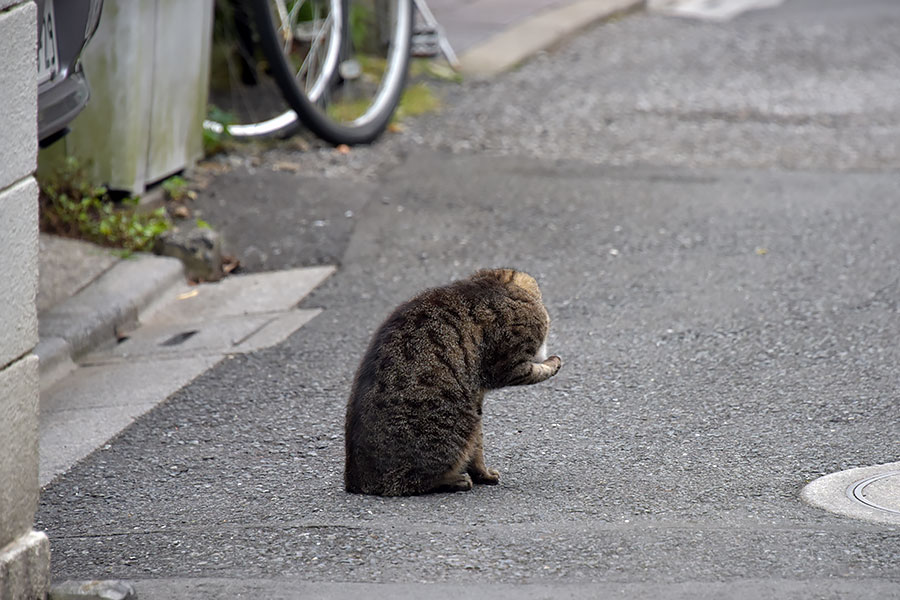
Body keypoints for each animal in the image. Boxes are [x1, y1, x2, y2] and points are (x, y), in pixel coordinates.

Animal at [342, 270, 560, 494]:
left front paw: (483, 474)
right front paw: (553, 362)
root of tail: (356, 480)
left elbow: (477, 448)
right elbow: (536, 370)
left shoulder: (479, 396)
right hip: (459, 425)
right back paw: (457, 480)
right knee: (416, 480)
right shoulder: (508, 366)